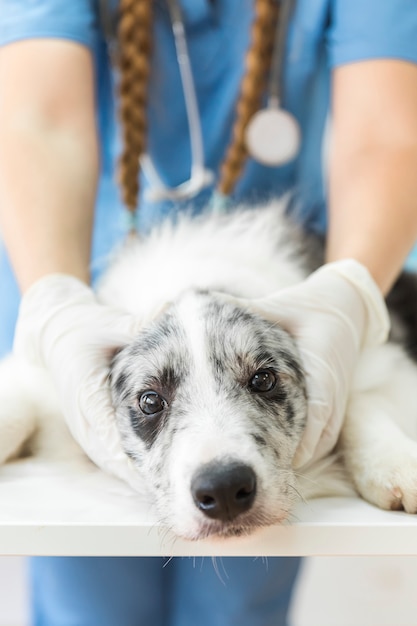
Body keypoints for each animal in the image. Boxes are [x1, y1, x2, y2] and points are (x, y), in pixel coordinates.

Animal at [0, 202, 416, 540]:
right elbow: (17, 407)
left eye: (263, 379)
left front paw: (394, 462)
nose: (225, 490)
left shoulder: (379, 361)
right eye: (150, 401)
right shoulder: (42, 383)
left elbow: (359, 401)